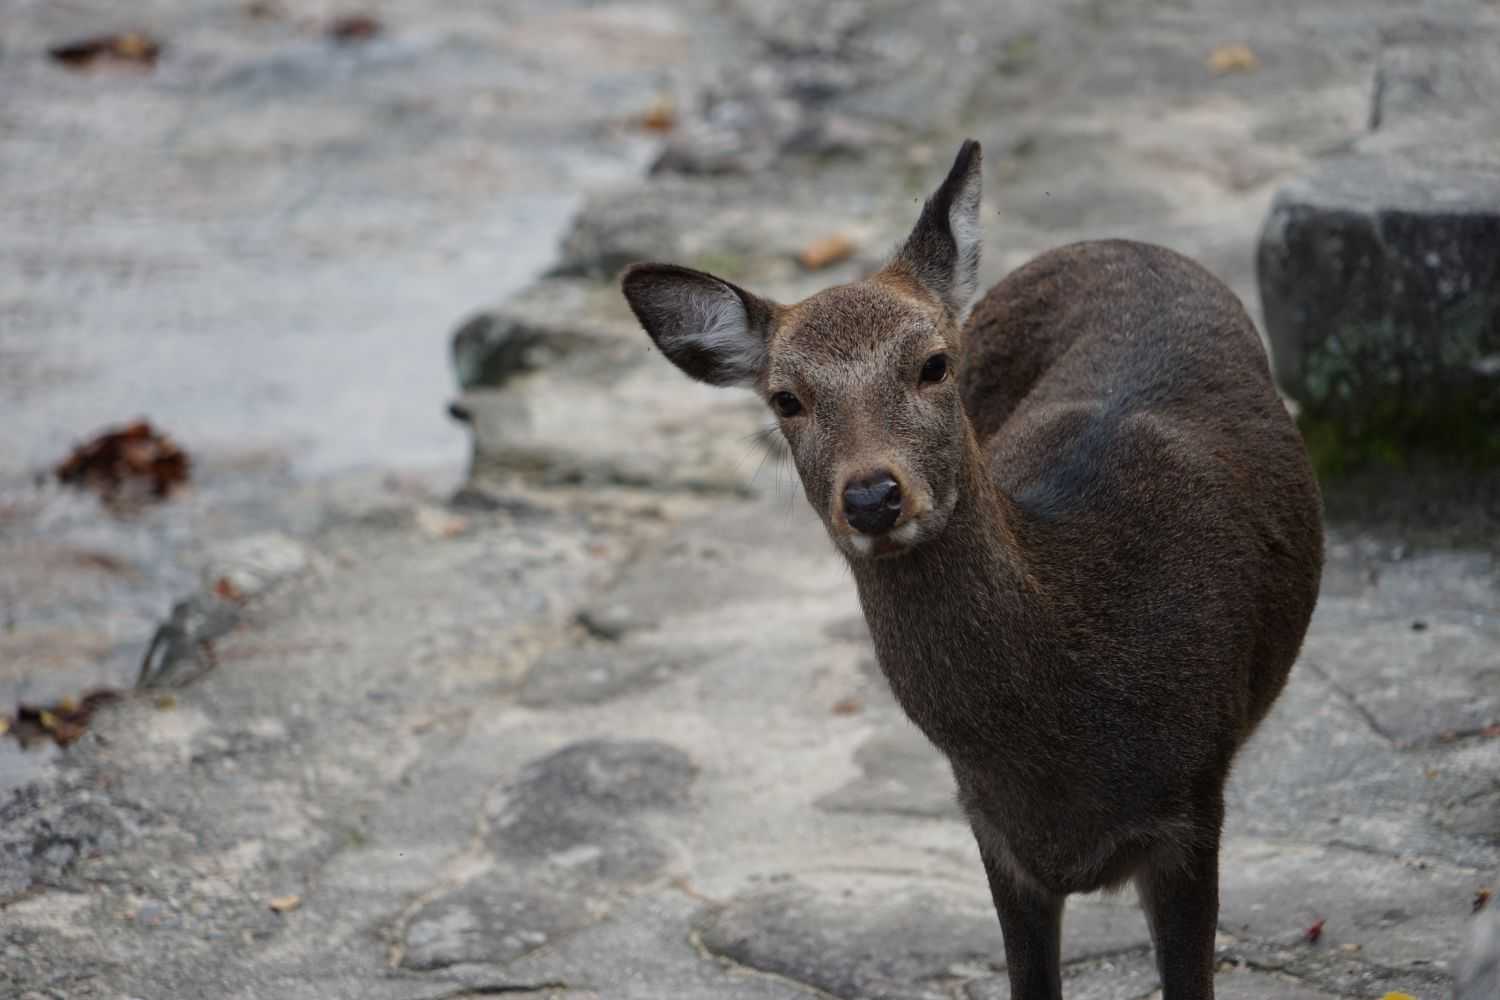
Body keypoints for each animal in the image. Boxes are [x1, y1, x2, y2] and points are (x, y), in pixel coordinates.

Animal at [621, 140, 1324, 1000]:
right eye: (786, 398)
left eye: (932, 364)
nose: (873, 496)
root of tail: (1117, 243)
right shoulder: (991, 830)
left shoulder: (1192, 802)